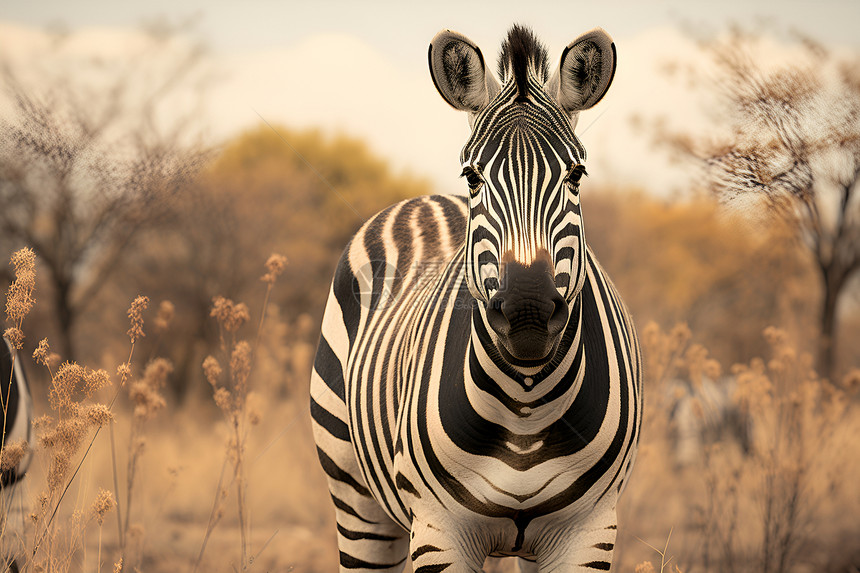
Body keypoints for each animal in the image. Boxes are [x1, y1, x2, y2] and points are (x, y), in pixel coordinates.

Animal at [310, 24, 640, 568]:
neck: (526, 408)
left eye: (576, 175)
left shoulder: (590, 531)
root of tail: (424, 199)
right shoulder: (439, 530)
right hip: (356, 502)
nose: (528, 313)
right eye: (473, 176)